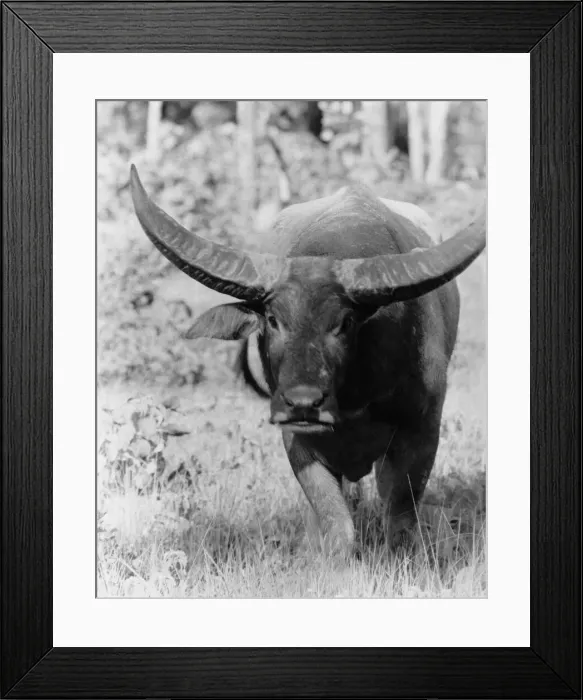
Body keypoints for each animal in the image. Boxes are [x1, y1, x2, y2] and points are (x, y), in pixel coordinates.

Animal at [130, 165, 486, 557]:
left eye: (344, 322)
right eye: (273, 320)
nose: (303, 402)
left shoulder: (422, 430)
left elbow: (401, 517)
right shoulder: (297, 440)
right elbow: (336, 521)